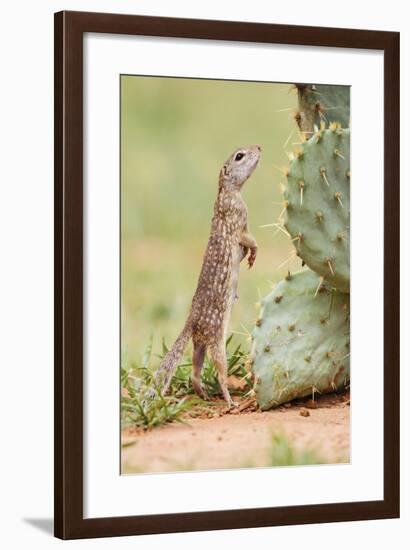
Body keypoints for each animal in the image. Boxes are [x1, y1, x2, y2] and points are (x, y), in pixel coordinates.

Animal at [152, 144, 262, 408]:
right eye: (239, 156)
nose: (259, 147)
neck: (226, 192)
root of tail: (190, 322)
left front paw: (249, 257)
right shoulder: (239, 221)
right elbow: (248, 239)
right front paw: (254, 253)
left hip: (199, 346)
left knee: (194, 371)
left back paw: (203, 394)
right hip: (216, 343)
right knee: (220, 373)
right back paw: (230, 401)